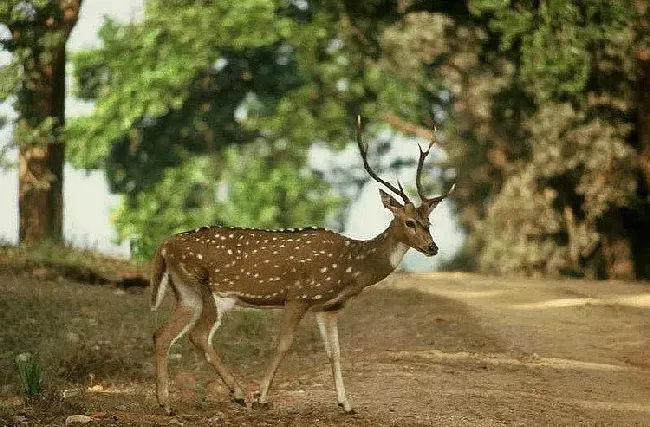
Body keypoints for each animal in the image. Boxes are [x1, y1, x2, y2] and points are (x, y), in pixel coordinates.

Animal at [148, 116, 450, 414]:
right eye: (409, 222)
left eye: (429, 222)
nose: (432, 247)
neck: (351, 268)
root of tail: (165, 246)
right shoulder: (298, 296)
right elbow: (284, 344)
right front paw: (262, 397)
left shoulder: (328, 307)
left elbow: (334, 352)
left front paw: (346, 404)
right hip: (207, 288)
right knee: (198, 335)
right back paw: (238, 395)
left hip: (187, 292)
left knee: (162, 334)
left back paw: (167, 402)